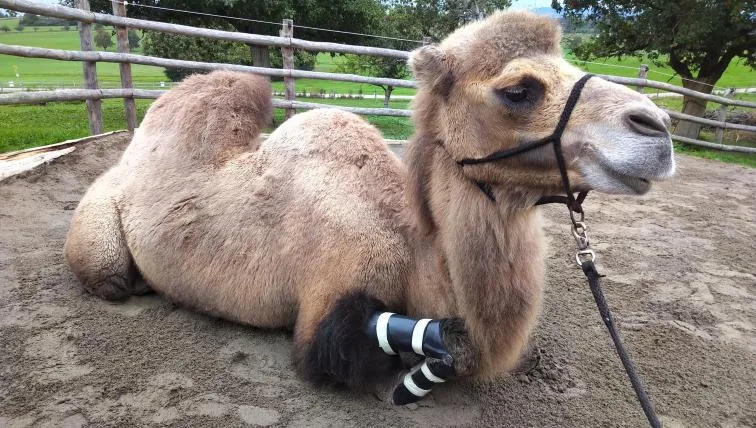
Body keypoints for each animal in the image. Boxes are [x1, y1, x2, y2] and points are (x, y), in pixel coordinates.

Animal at [64, 11, 674, 404]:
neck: (416, 253)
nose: (658, 128)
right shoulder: (330, 292)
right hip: (98, 226)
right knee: (109, 276)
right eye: (519, 89)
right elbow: (348, 351)